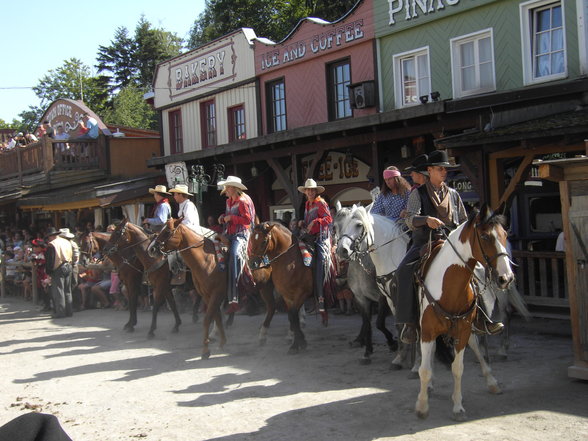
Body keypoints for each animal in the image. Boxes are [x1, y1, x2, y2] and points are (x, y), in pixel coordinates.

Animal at [247, 222, 316, 352]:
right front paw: (297, 342)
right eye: (252, 239)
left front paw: (298, 343)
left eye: (264, 241)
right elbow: (292, 316)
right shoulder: (287, 295)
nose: (252, 263)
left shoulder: (302, 292)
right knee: (272, 307)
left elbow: (293, 315)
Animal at [414, 205, 516, 422]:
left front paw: (458, 407)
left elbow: (458, 368)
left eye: (504, 235)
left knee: (475, 346)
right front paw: (422, 406)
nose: (506, 278)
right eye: (485, 236)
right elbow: (424, 369)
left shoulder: (463, 329)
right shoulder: (427, 330)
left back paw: (491, 381)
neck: (448, 285)